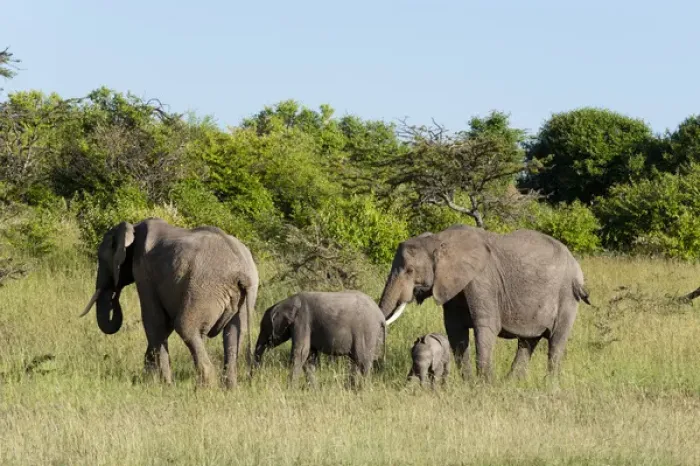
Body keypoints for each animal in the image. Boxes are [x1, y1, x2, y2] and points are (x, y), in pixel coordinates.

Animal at [79, 218, 259, 388]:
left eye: (102, 259)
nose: (114, 295)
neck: (134, 228)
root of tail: (242, 272)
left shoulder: (143, 272)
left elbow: (154, 321)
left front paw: (164, 384)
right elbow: (165, 324)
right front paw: (149, 380)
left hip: (205, 288)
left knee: (186, 327)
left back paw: (204, 388)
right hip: (243, 295)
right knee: (234, 333)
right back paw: (230, 389)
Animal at [254, 291, 386, 388]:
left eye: (263, 328)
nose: (254, 378)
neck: (287, 302)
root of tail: (381, 317)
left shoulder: (302, 320)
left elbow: (300, 352)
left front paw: (290, 389)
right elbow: (309, 356)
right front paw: (313, 389)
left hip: (366, 331)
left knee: (362, 361)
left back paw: (363, 390)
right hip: (375, 334)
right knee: (358, 362)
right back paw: (351, 388)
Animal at [378, 225, 590, 381]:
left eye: (409, 270)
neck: (439, 240)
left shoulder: (482, 280)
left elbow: (486, 326)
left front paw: (485, 385)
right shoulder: (453, 287)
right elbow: (455, 331)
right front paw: (469, 383)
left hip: (567, 296)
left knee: (556, 341)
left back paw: (549, 385)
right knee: (527, 342)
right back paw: (511, 382)